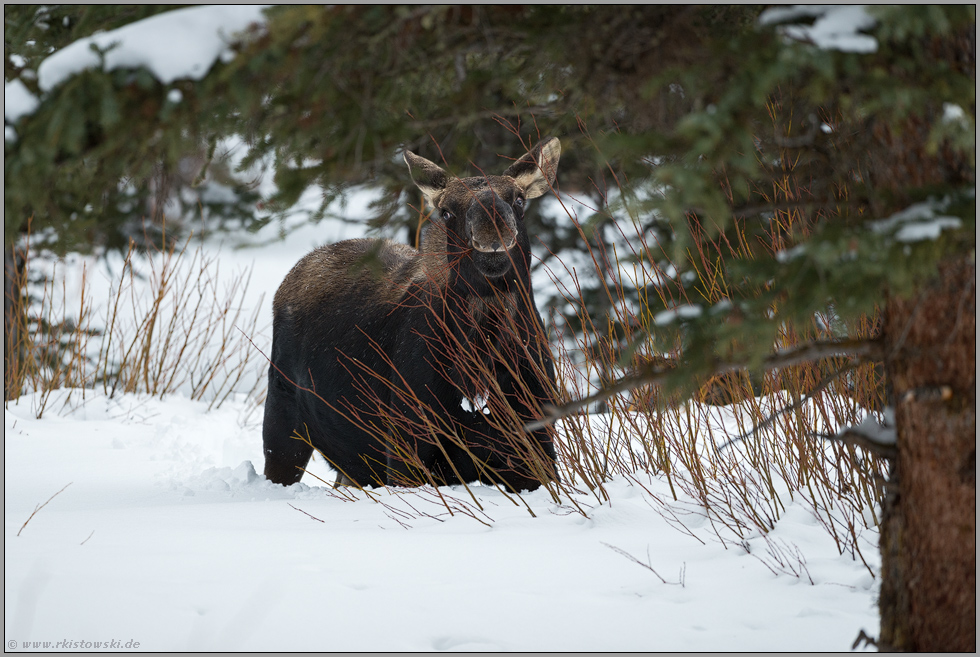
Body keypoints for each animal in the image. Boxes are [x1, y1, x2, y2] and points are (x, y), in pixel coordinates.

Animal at [260, 136, 564, 490]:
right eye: (446, 211)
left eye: (518, 200)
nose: (492, 227)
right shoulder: (409, 447)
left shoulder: (537, 444)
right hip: (283, 424)